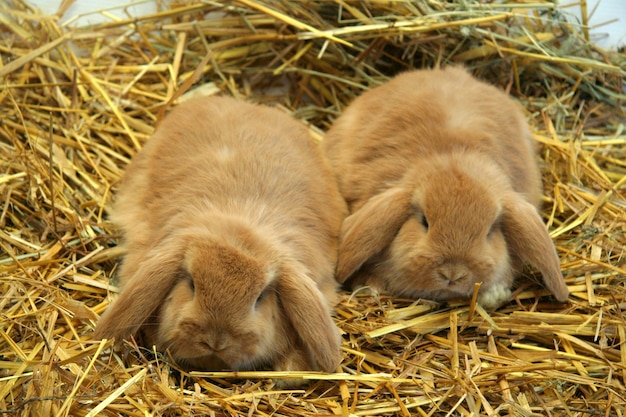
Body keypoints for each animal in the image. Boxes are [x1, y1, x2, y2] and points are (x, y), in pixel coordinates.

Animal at [324, 67, 568, 308]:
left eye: (490, 230)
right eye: (424, 222)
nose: (452, 274)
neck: (453, 155)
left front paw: (495, 294)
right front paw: (369, 286)